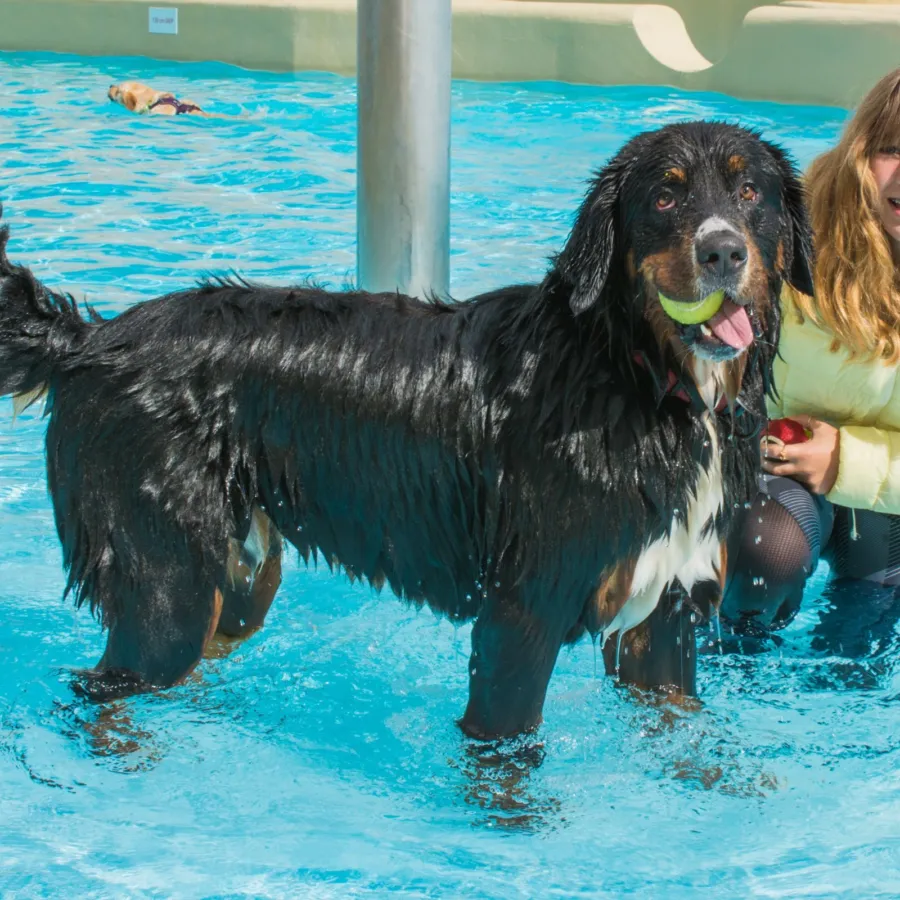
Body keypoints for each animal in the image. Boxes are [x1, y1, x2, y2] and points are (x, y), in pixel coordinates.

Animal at [0, 121, 812, 740]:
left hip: (238, 577)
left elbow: (688, 738)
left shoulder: (666, 614)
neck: (636, 377)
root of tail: (94, 338)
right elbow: (508, 758)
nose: (722, 251)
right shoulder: (522, 613)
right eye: (667, 194)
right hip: (166, 580)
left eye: (749, 193)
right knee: (109, 689)